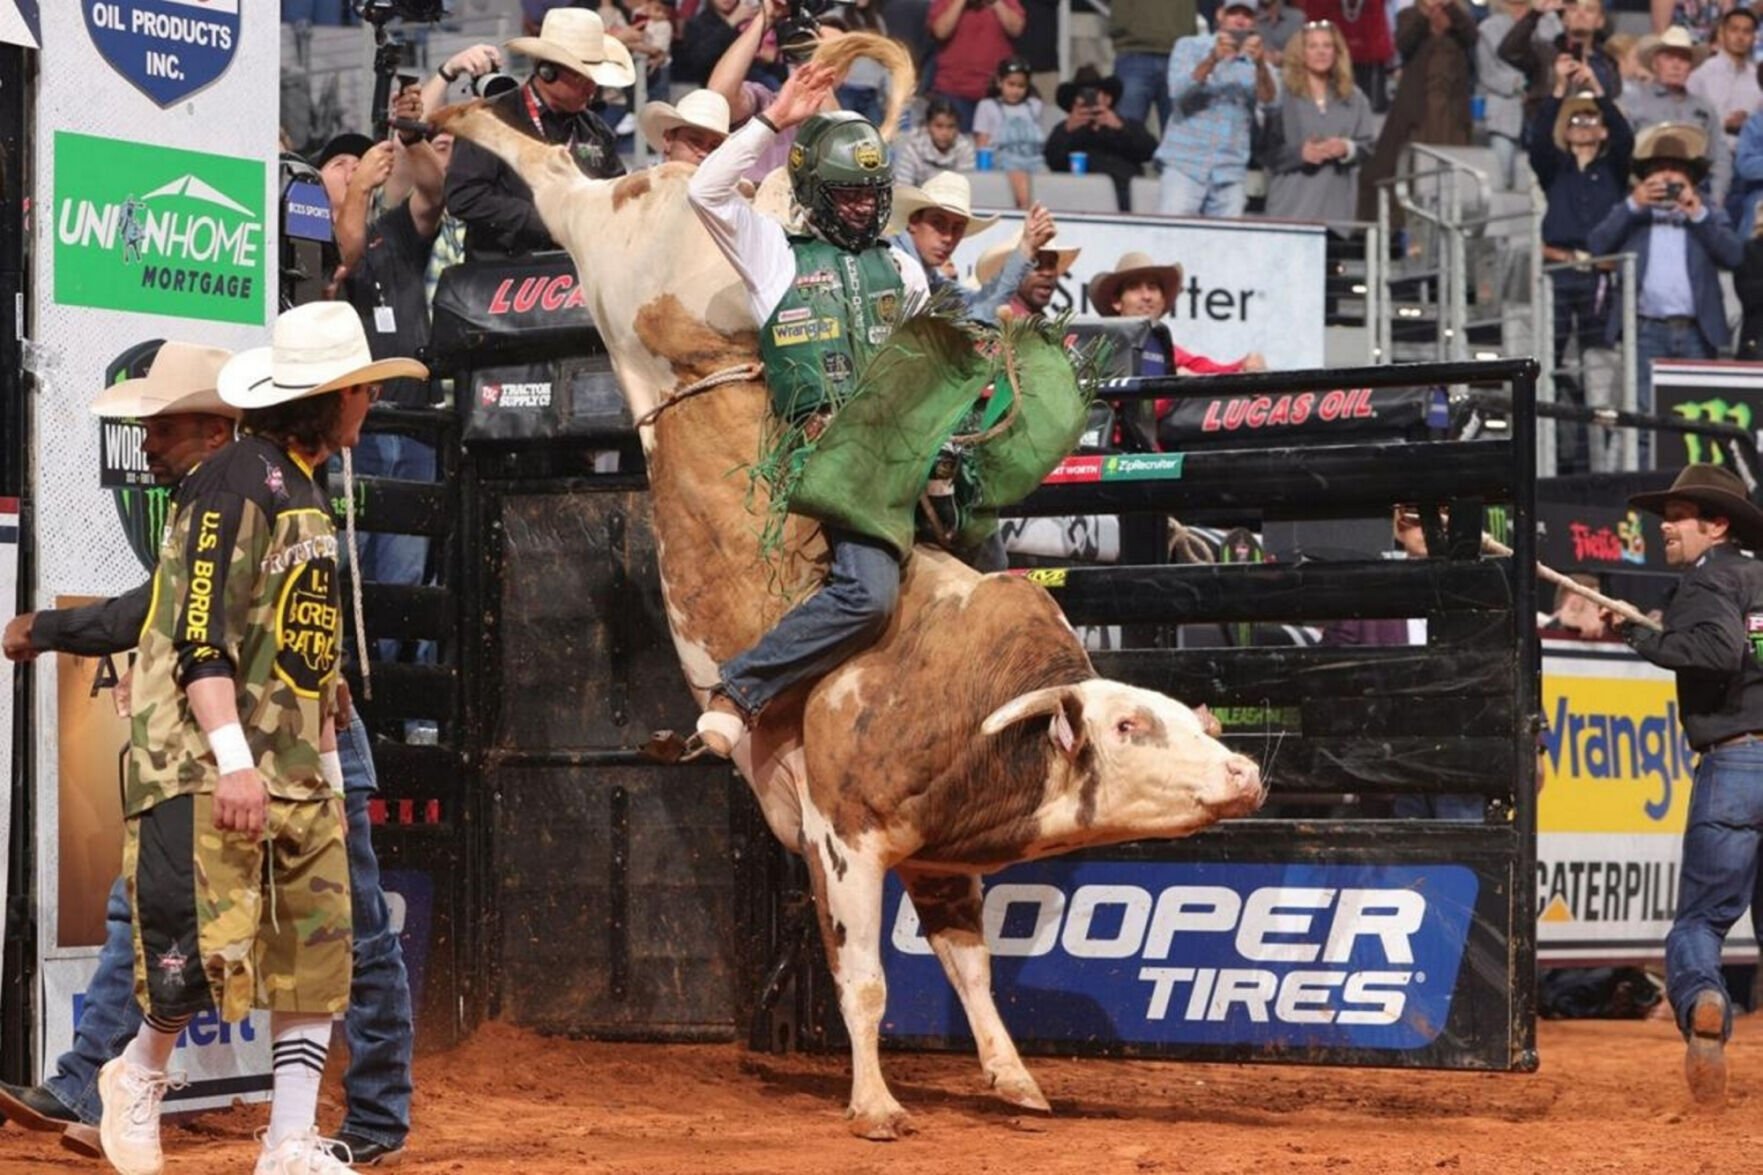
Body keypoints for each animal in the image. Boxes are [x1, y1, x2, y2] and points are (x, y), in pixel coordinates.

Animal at [431, 36, 1262, 1136]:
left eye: (1187, 716)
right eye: (1130, 725)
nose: (1245, 773)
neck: (970, 704)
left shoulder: (944, 860)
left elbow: (970, 972)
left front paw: (1014, 1079)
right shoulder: (844, 838)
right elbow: (862, 975)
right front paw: (874, 1102)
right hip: (612, 241)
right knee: (557, 170)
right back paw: (453, 105)